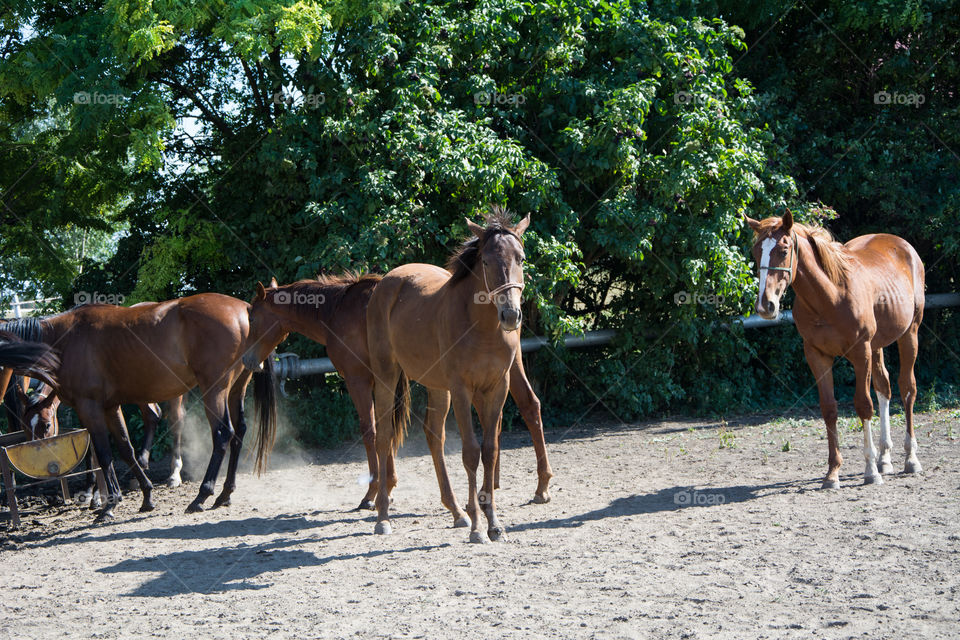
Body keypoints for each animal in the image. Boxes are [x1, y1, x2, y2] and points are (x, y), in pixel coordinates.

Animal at [244, 270, 552, 516]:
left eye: (253, 317)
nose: (248, 360)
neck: (338, 309)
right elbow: (388, 431)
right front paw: (388, 487)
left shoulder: (359, 380)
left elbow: (371, 430)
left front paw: (374, 493)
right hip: (504, 371)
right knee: (526, 407)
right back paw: (522, 486)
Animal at [368, 208, 532, 544]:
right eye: (486, 261)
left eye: (521, 258)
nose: (511, 315)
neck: (483, 328)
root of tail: (386, 283)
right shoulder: (462, 390)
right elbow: (470, 452)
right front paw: (477, 528)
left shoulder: (498, 388)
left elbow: (490, 451)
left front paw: (493, 523)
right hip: (387, 375)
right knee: (384, 436)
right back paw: (383, 517)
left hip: (436, 388)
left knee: (435, 436)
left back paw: (456, 511)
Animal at [744, 212, 924, 488]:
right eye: (756, 252)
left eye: (783, 250)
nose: (766, 305)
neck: (830, 296)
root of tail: (905, 247)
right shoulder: (817, 355)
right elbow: (829, 409)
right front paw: (833, 473)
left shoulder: (861, 353)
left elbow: (863, 404)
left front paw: (870, 470)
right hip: (878, 346)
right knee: (884, 387)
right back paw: (884, 458)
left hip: (909, 334)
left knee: (907, 389)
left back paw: (910, 458)